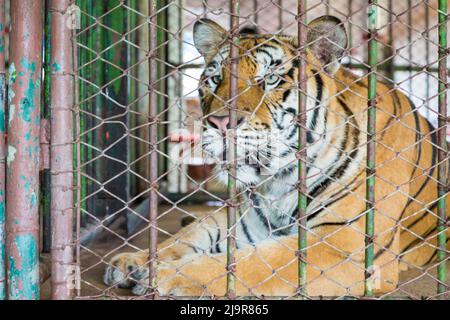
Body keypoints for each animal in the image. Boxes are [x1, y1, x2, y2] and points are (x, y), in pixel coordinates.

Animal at [103, 16, 448, 296]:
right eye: (215, 79)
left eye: (269, 80)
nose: (220, 123)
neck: (280, 181)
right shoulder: (245, 217)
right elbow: (189, 234)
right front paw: (134, 261)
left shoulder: (343, 244)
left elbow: (250, 264)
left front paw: (168, 275)